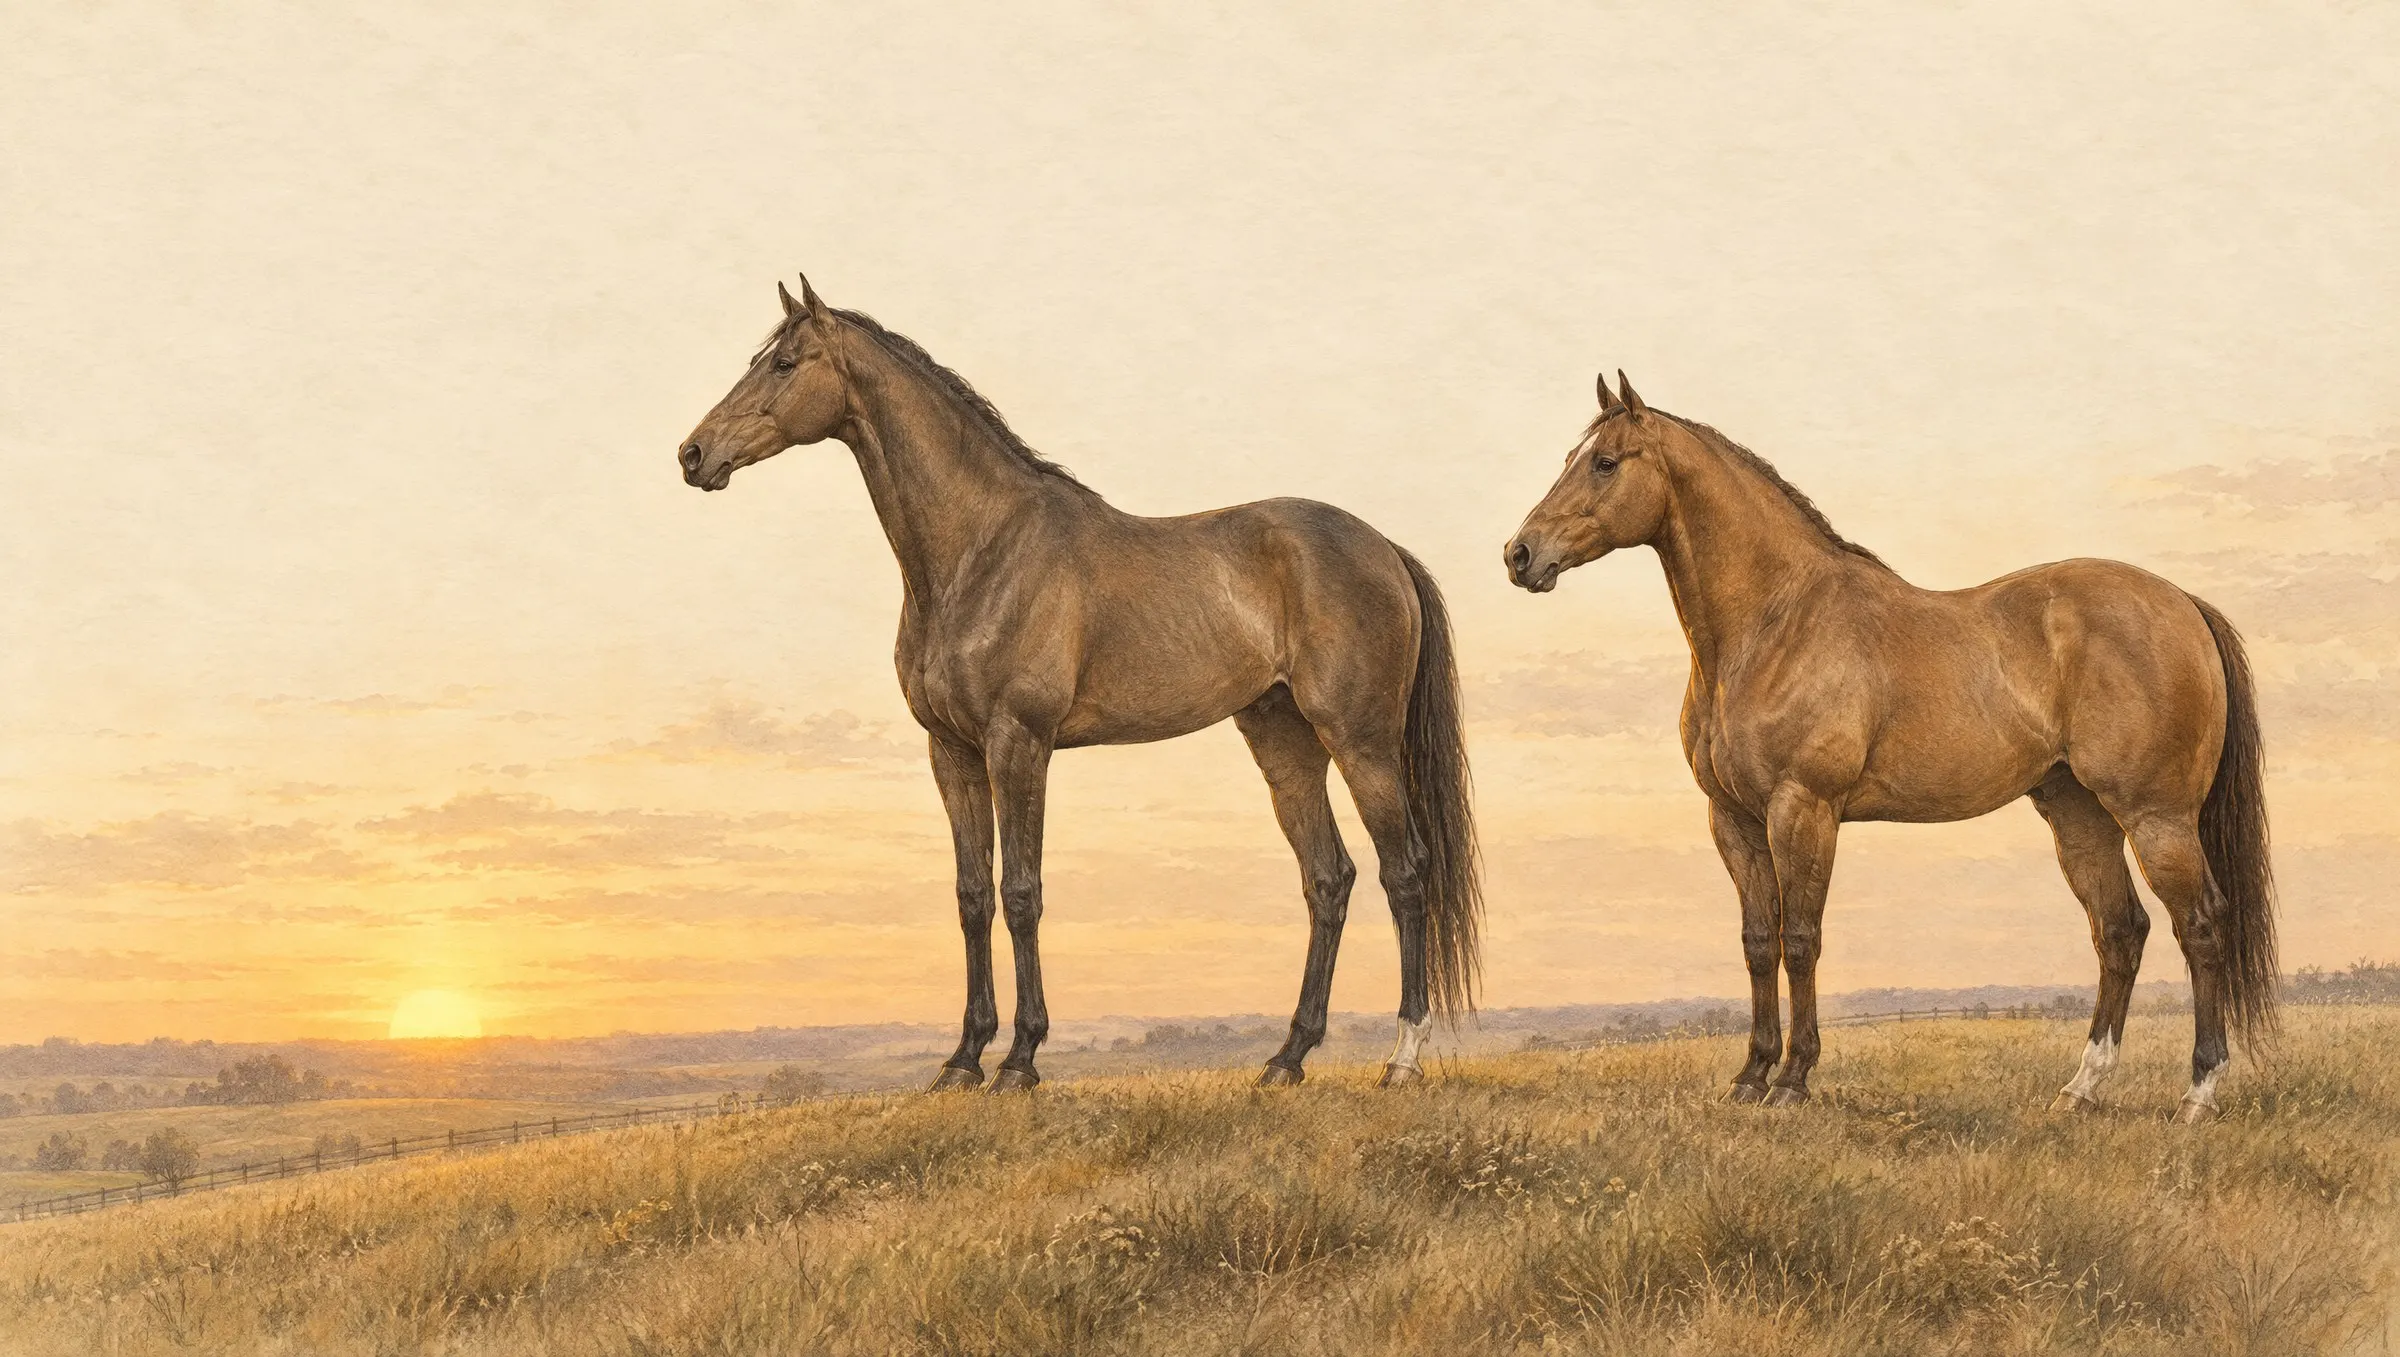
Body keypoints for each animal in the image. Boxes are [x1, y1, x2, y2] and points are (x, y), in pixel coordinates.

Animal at [676, 277, 1481, 1092]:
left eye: (784, 363)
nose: (693, 453)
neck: (981, 550)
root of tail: (1385, 548)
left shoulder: (1018, 743)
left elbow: (1020, 892)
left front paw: (1020, 1060)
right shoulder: (951, 752)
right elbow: (972, 896)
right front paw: (962, 1059)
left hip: (1361, 741)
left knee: (1404, 873)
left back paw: (1402, 1057)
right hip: (1283, 741)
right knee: (1329, 878)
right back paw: (1287, 1058)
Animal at [1503, 373, 2275, 1122]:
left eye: (1605, 463)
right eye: (1571, 457)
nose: (1520, 555)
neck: (1774, 624)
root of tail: (2184, 603)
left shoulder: (1803, 808)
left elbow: (1800, 939)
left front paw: (1793, 1080)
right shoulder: (1734, 820)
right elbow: (1757, 943)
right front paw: (1750, 1076)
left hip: (2155, 817)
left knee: (2201, 925)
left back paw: (2199, 1092)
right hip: (2078, 814)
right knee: (2120, 932)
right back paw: (2080, 1090)